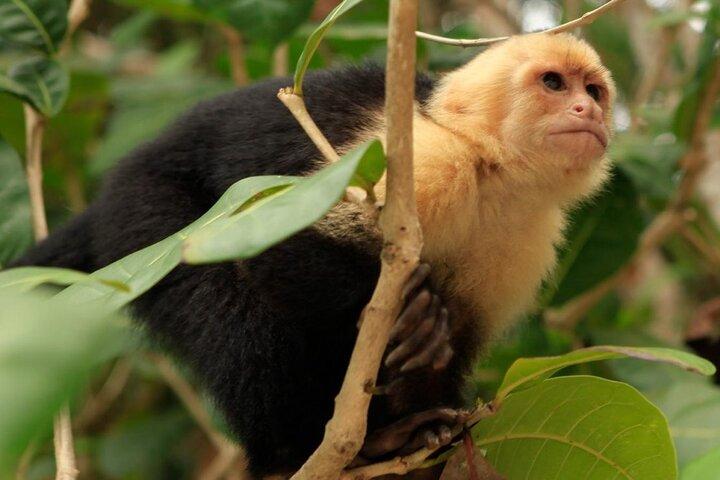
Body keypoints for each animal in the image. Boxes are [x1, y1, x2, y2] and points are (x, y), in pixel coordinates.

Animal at [11, 32, 615, 477]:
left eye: (594, 90)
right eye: (553, 83)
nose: (586, 109)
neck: (493, 173)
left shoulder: (525, 238)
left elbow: (463, 334)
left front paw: (432, 413)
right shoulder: (425, 160)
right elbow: (277, 244)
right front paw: (415, 317)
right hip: (144, 215)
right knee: (232, 312)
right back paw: (295, 451)